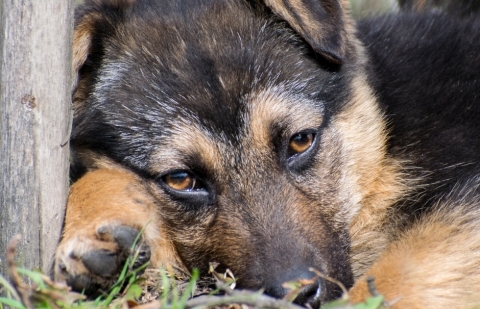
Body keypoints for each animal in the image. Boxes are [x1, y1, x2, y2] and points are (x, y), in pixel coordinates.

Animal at [53, 0, 480, 306]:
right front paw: (96, 219)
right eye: (181, 179)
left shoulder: (457, 223)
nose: (298, 295)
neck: (384, 147)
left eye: (300, 141)